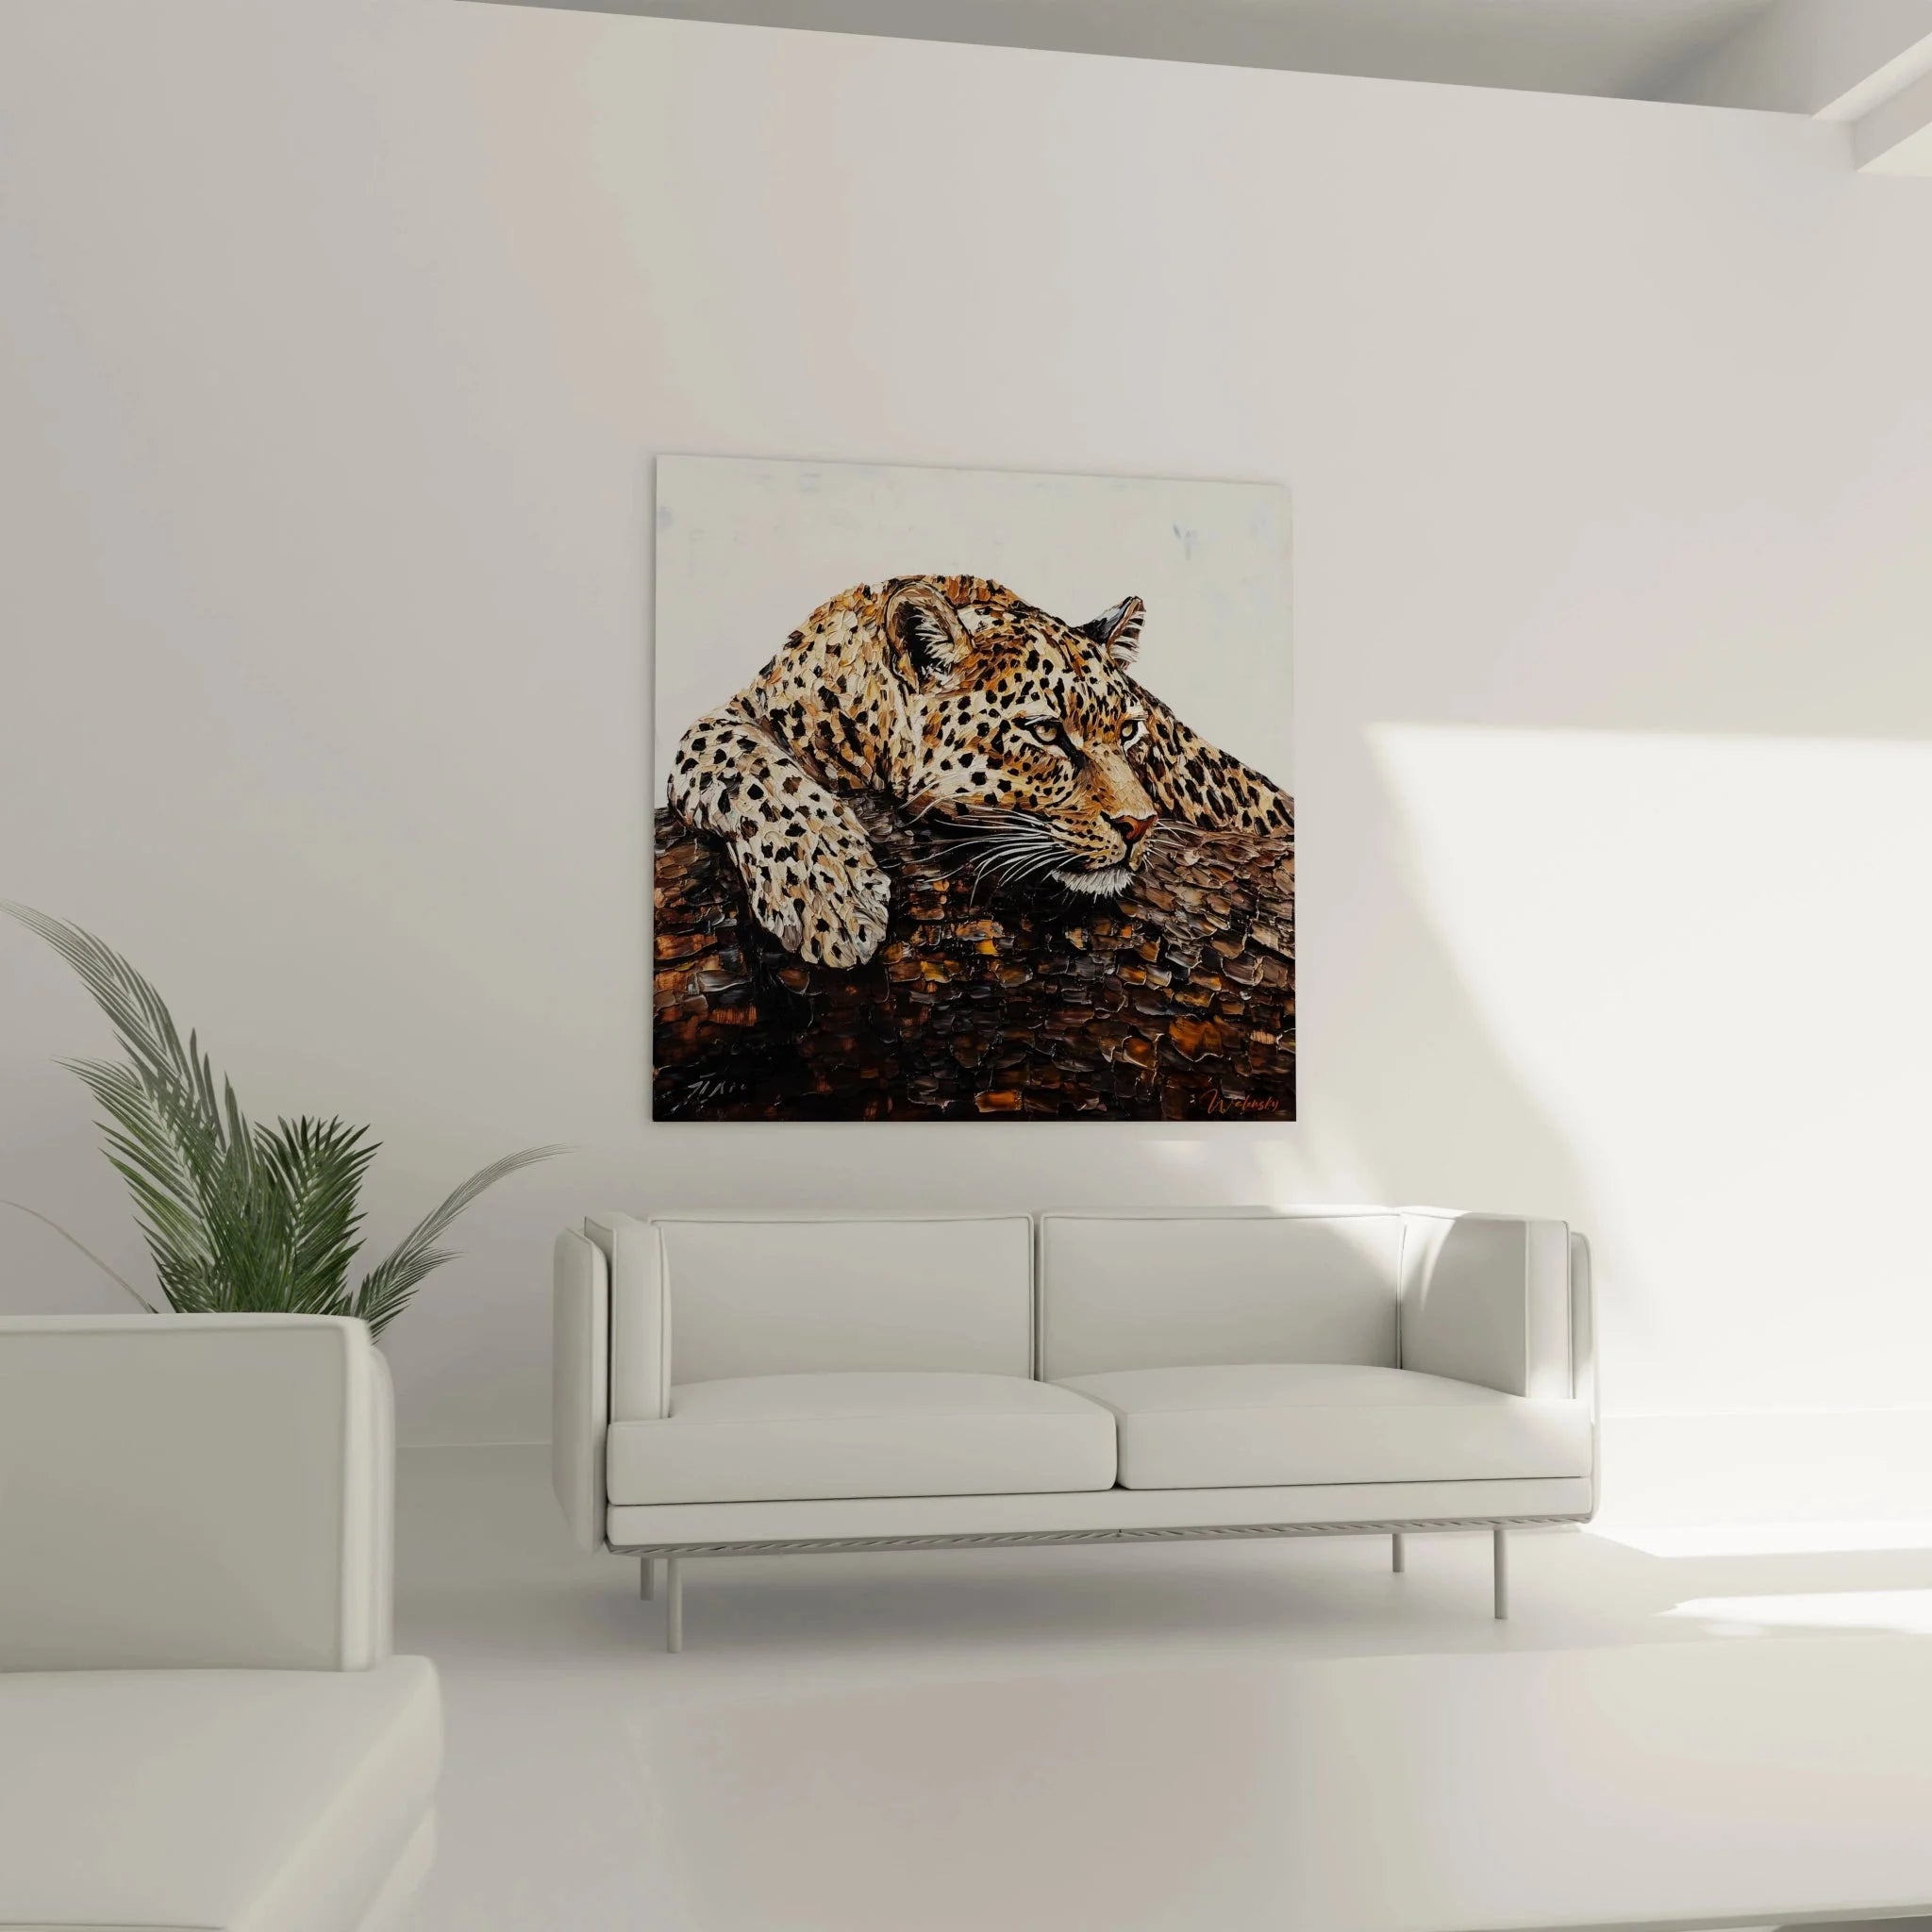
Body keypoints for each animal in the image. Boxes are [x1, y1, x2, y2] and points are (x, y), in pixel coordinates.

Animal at [665, 574, 1293, 968]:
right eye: (1047, 732)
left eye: (1129, 732)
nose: (1139, 825)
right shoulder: (738, 714)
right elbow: (742, 763)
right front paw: (832, 898)